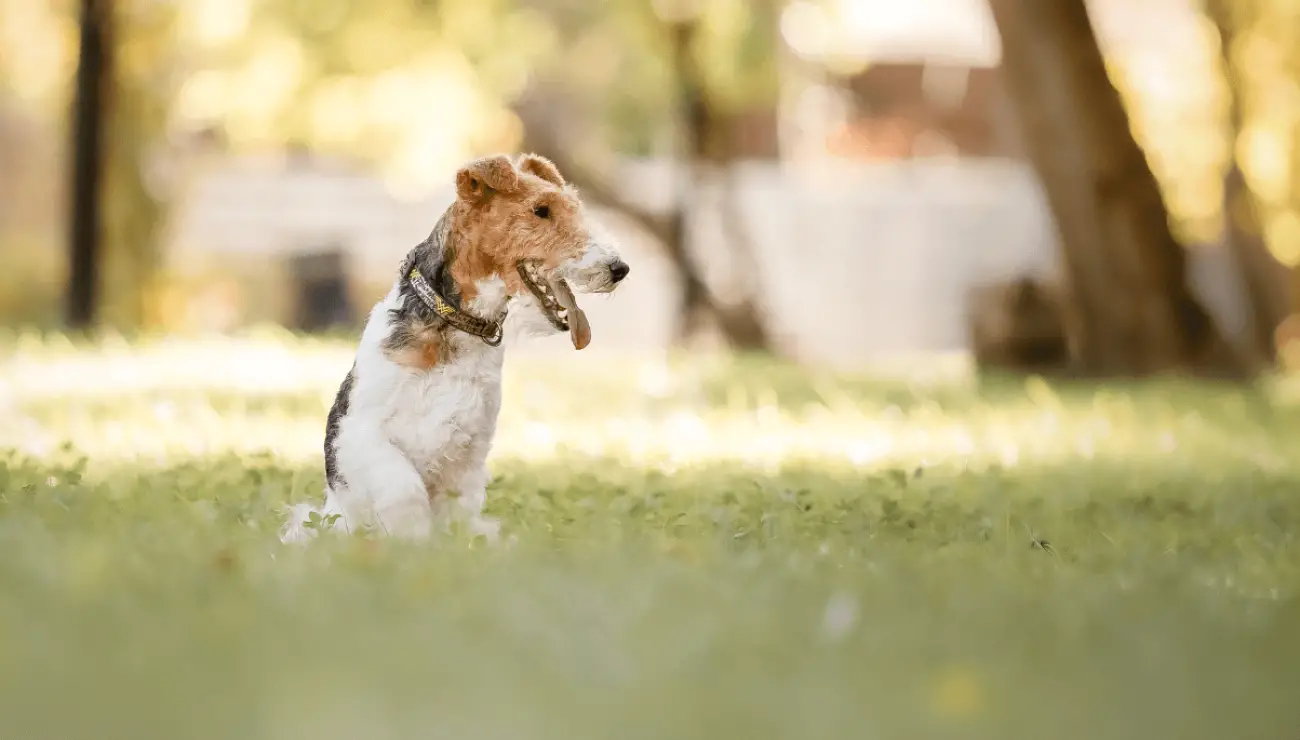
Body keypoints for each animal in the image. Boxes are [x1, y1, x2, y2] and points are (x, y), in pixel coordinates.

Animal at [283, 151, 629, 543]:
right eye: (541, 210)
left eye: (575, 208)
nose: (619, 268)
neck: (453, 324)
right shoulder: (359, 431)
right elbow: (404, 488)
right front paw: (409, 541)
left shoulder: (469, 450)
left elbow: (455, 514)